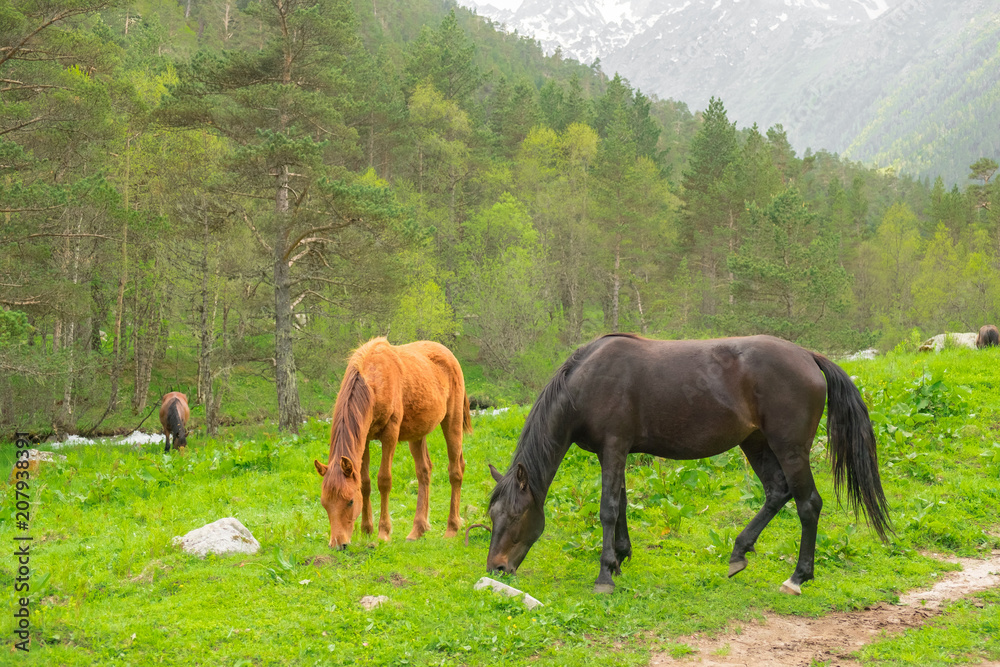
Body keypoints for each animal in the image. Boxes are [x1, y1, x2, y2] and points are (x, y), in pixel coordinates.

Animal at [312, 338, 472, 549]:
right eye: (324, 503)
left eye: (350, 502)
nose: (338, 544)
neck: (373, 381)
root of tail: (448, 354)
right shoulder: (364, 439)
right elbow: (365, 483)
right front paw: (366, 531)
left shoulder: (390, 434)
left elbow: (384, 480)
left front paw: (383, 533)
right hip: (417, 433)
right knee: (424, 472)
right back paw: (417, 530)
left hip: (452, 422)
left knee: (455, 470)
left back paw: (452, 528)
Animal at [486, 333, 891, 595]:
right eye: (493, 516)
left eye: (518, 515)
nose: (497, 568)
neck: (586, 381)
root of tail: (808, 356)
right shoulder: (616, 451)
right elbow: (622, 505)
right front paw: (620, 557)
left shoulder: (613, 447)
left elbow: (608, 508)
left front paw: (605, 575)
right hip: (755, 443)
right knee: (777, 492)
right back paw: (738, 553)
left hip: (790, 448)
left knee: (808, 504)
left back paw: (797, 578)